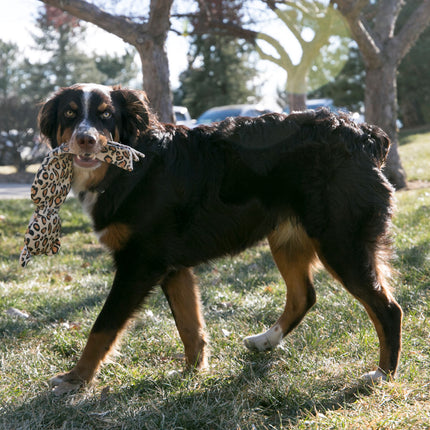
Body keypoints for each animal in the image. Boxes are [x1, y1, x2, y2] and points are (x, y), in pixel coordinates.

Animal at [37, 82, 404, 392]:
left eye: (106, 115)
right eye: (70, 114)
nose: (85, 139)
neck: (131, 167)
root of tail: (363, 134)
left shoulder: (139, 264)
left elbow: (103, 327)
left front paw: (75, 378)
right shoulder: (173, 268)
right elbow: (190, 327)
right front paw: (192, 371)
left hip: (341, 244)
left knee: (388, 309)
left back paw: (382, 374)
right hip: (288, 238)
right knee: (304, 296)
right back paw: (265, 340)